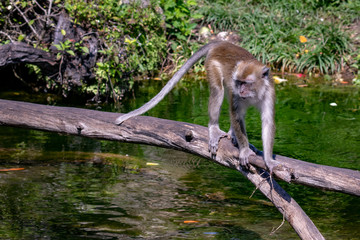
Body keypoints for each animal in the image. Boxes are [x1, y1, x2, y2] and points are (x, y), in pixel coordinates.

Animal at [114, 40, 278, 172]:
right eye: (239, 82)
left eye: (247, 83)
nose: (241, 90)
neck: (254, 94)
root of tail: (221, 43)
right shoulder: (237, 95)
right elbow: (236, 115)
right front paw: (244, 150)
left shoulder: (269, 93)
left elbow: (267, 121)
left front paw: (268, 159)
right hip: (211, 63)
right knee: (218, 91)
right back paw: (214, 128)